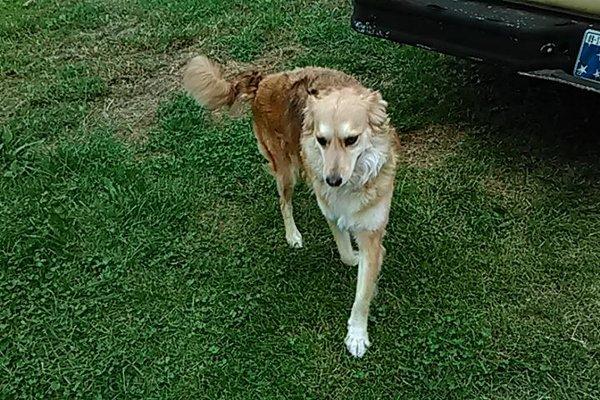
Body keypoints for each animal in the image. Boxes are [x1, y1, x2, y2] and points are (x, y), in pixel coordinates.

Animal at [183, 55, 398, 356]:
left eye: (351, 139)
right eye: (321, 140)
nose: (331, 181)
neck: (353, 182)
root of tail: (264, 80)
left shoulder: (371, 230)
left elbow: (362, 291)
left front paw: (356, 332)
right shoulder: (331, 212)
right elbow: (345, 253)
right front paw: (356, 262)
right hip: (286, 171)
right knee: (284, 203)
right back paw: (293, 235)